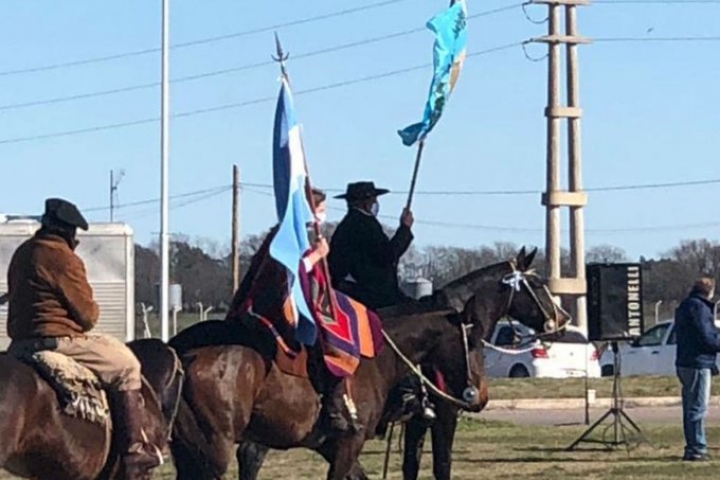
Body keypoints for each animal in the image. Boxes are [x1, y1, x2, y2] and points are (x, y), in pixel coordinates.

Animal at [169, 248, 568, 480]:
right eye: (537, 285)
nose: (562, 319)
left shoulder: (410, 423)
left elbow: (409, 465)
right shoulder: (440, 416)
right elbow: (440, 465)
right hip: (217, 447)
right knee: (248, 457)